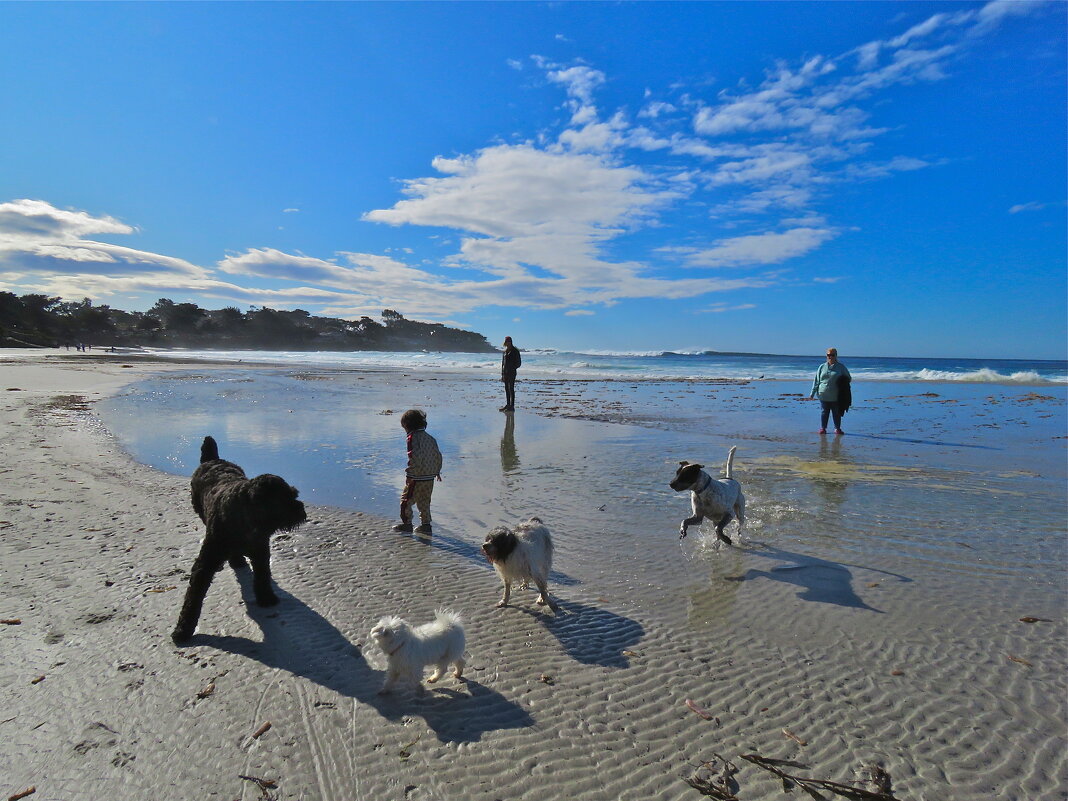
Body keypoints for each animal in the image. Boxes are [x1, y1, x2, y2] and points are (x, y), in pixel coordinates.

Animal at [168, 435, 307, 645]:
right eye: (286, 499)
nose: (302, 511)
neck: (245, 518)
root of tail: (213, 459)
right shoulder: (204, 565)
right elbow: (193, 598)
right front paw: (183, 629)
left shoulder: (261, 552)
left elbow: (262, 576)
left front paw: (266, 598)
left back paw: (237, 560)